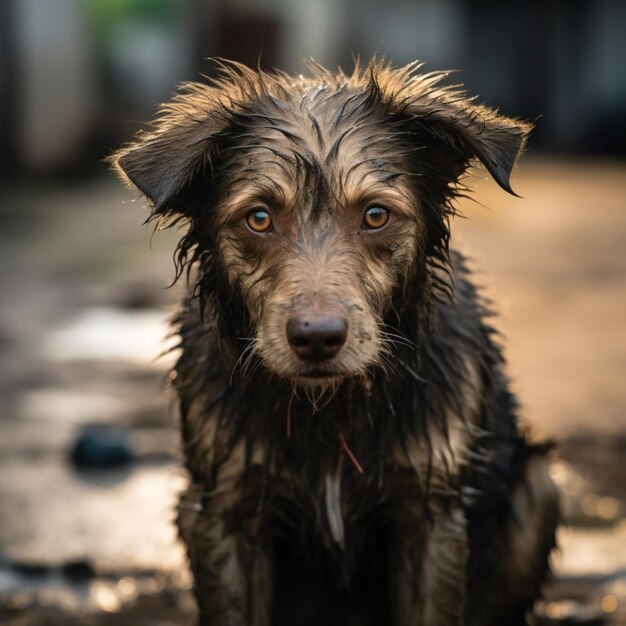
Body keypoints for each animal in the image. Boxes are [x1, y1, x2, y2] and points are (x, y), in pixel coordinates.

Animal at [111, 59, 556, 624]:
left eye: (376, 215)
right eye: (259, 217)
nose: (318, 339)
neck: (327, 409)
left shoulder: (430, 512)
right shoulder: (224, 510)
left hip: (540, 486)